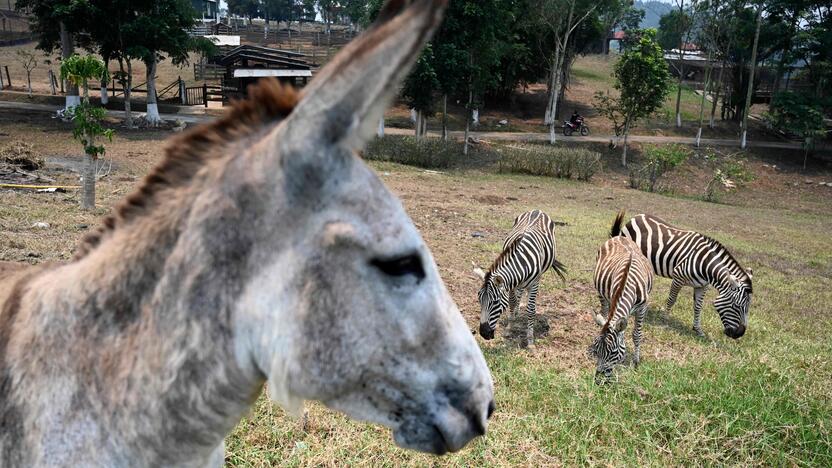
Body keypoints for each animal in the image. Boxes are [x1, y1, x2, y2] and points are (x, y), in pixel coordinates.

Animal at [474, 209, 564, 348]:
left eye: (495, 302)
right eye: (479, 300)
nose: (484, 334)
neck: (523, 261)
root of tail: (537, 210)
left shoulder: (534, 284)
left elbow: (531, 310)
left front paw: (530, 341)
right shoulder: (511, 284)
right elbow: (512, 302)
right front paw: (509, 328)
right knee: (518, 295)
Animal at [588, 236, 652, 382]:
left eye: (613, 352)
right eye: (597, 349)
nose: (598, 380)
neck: (628, 281)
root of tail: (619, 237)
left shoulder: (642, 308)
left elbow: (637, 334)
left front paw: (636, 362)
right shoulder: (613, 298)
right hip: (601, 293)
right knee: (604, 313)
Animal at [612, 213, 752, 340]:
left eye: (747, 308)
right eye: (736, 306)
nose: (739, 334)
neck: (705, 264)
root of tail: (637, 216)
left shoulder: (702, 286)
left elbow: (698, 307)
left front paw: (698, 329)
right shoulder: (678, 278)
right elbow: (672, 299)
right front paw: (665, 319)